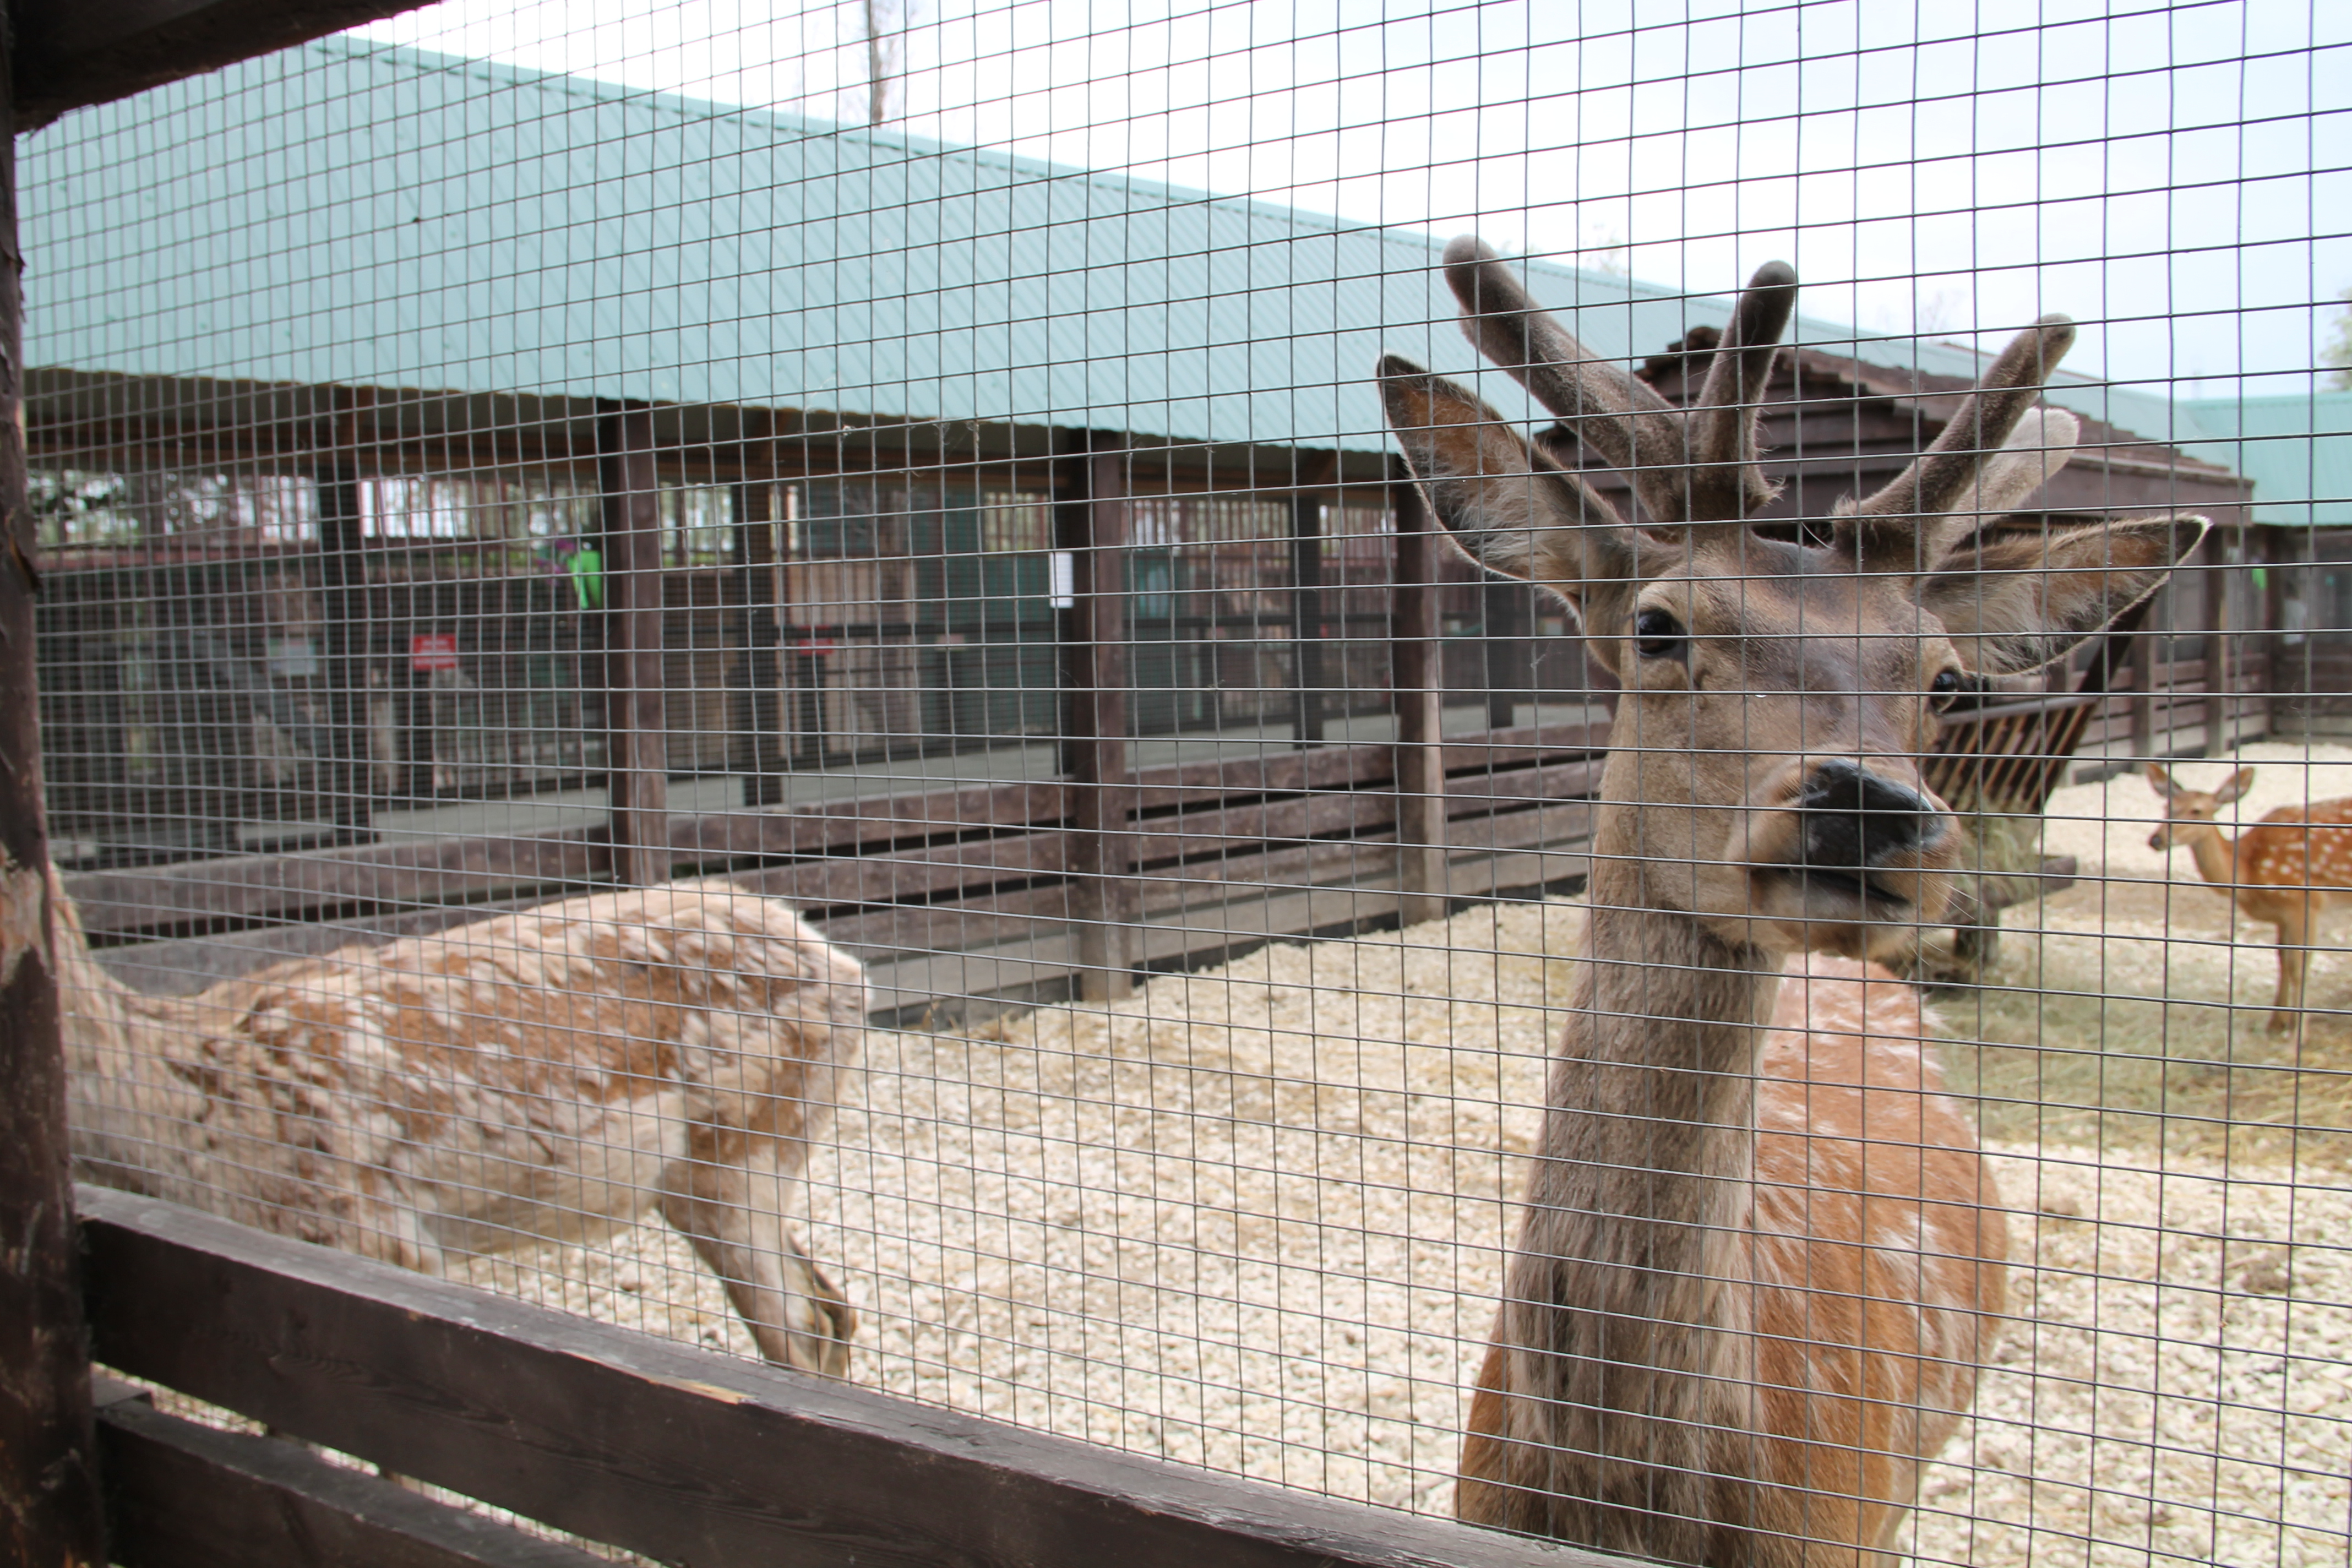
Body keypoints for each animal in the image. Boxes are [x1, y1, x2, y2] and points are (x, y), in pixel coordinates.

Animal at [2154, 766, 2352, 1034]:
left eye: (2197, 811)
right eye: (2166, 807)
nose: (2156, 840)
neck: (2249, 871)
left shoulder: (2304, 902)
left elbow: (2299, 965)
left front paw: (2298, 1033)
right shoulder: (2283, 915)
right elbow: (2282, 959)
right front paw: (2277, 1023)